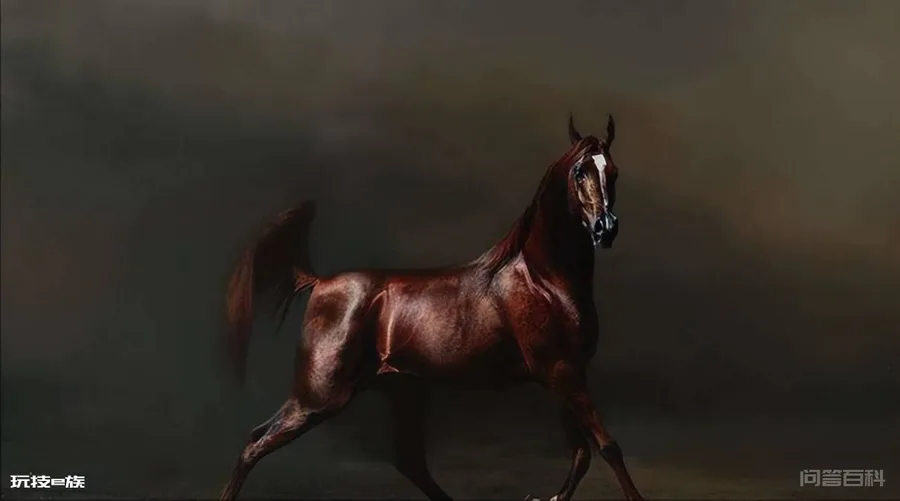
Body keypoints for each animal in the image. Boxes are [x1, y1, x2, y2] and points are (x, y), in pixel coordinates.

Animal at [220, 114, 643, 501]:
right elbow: (607, 447)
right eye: (579, 171)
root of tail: (321, 282)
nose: (606, 228)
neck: (544, 281)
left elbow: (581, 454)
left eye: (614, 172)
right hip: (321, 394)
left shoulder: (565, 375)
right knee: (255, 443)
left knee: (409, 462)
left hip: (401, 390)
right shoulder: (561, 372)